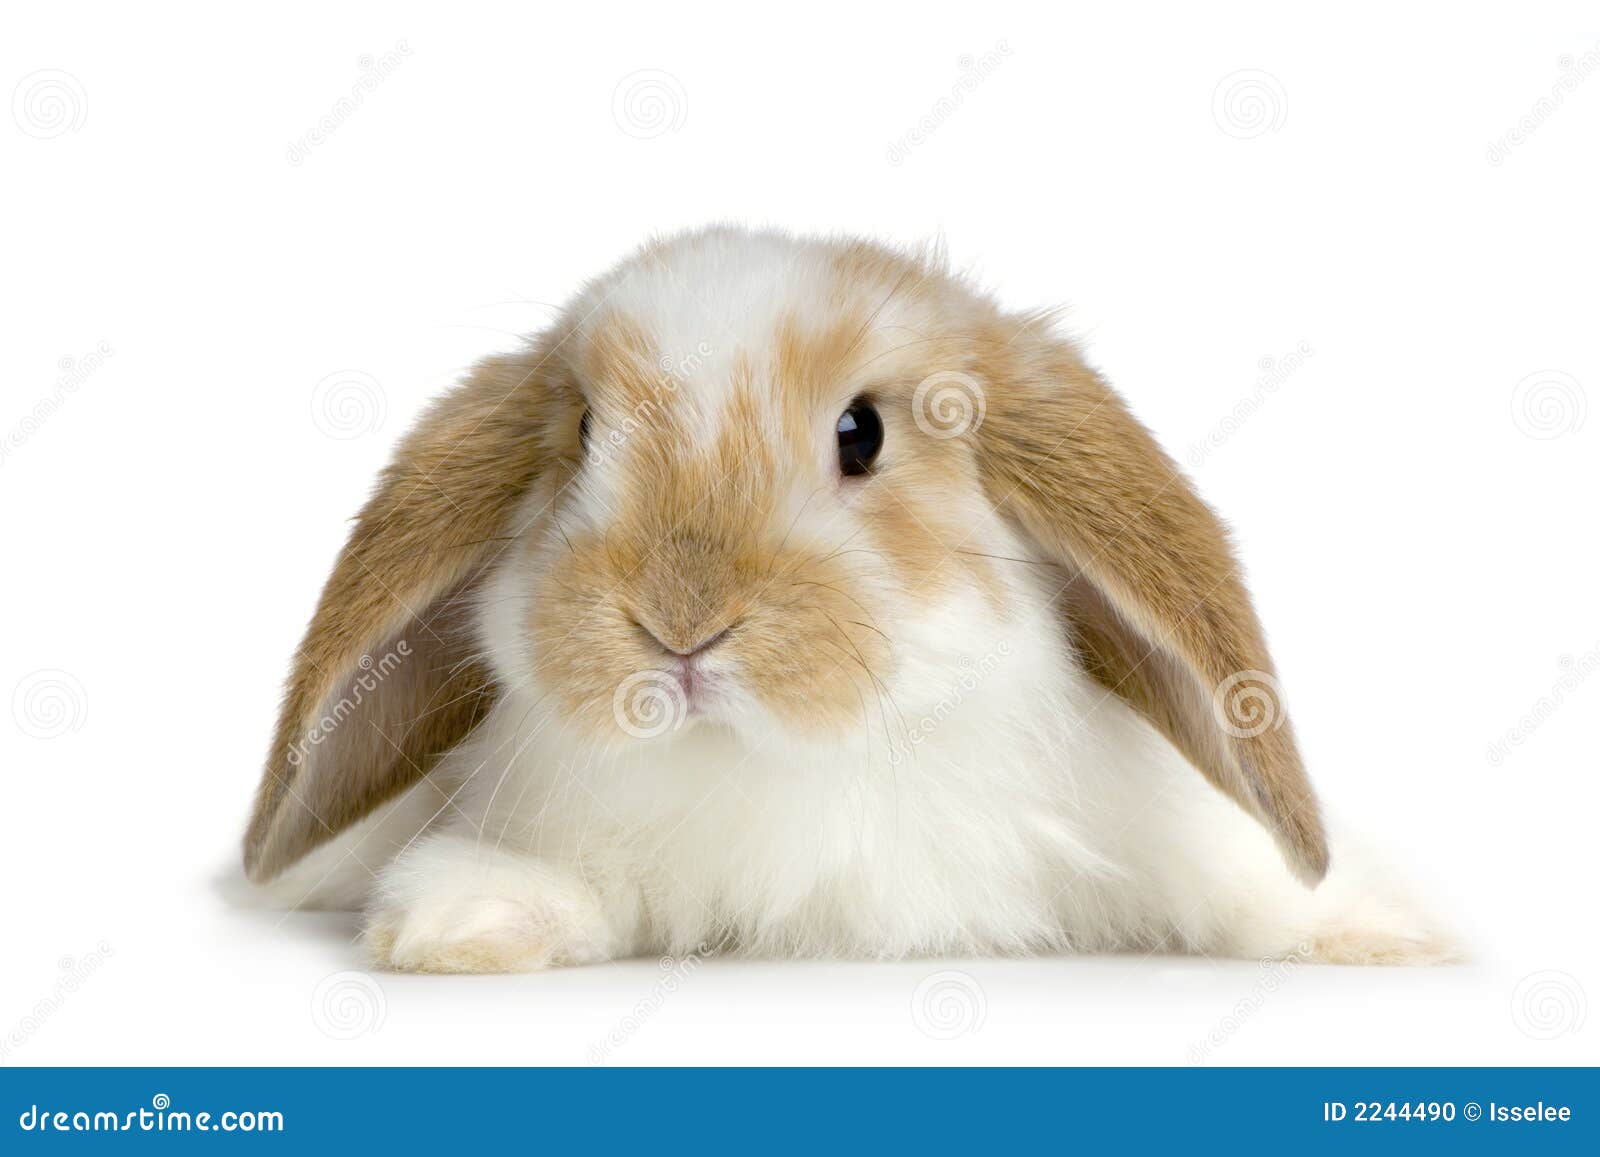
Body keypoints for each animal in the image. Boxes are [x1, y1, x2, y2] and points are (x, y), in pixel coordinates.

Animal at [244, 226, 1457, 972]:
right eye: (582, 432)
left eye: (860, 432)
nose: (679, 622)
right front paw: (462, 919)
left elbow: (1241, 881)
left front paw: (1383, 926)